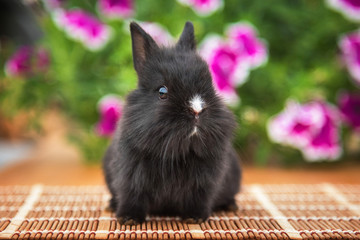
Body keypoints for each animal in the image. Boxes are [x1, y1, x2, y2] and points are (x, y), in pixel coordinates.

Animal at [102, 21, 240, 225]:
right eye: (162, 91)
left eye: (210, 84)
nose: (196, 109)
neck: (176, 153)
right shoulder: (130, 176)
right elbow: (131, 195)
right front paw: (128, 219)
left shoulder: (205, 182)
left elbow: (199, 197)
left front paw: (194, 218)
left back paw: (231, 206)